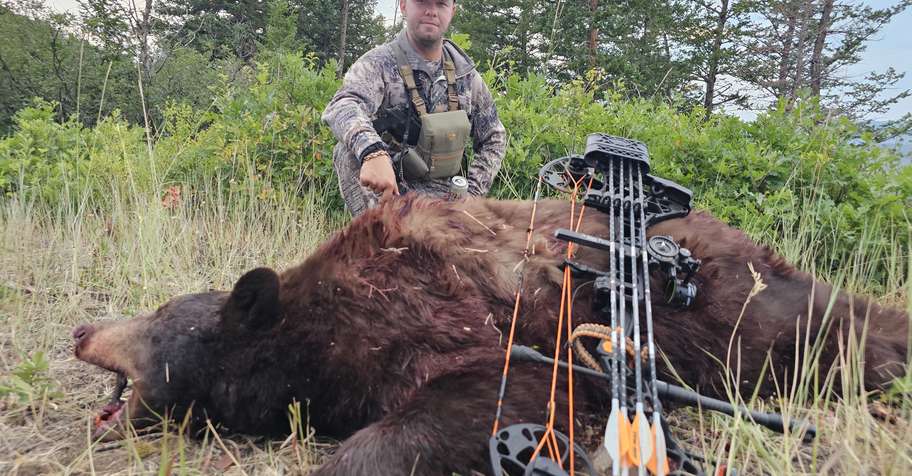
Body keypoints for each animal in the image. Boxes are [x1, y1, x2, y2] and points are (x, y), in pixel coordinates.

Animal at [72, 194, 909, 475]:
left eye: (159, 316)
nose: (82, 327)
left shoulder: (457, 318)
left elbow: (511, 392)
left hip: (743, 315)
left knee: (836, 331)